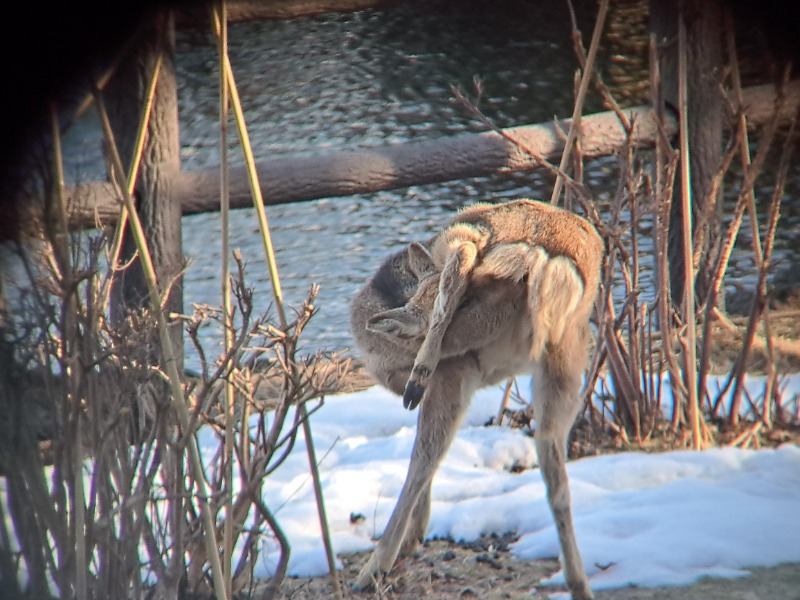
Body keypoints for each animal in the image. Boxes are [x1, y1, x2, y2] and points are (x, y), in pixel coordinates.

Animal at [346, 198, 604, 600]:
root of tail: (541, 259)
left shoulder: (451, 377)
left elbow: (426, 456)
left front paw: (409, 539)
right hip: (564, 353)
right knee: (554, 466)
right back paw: (579, 583)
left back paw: (372, 569)